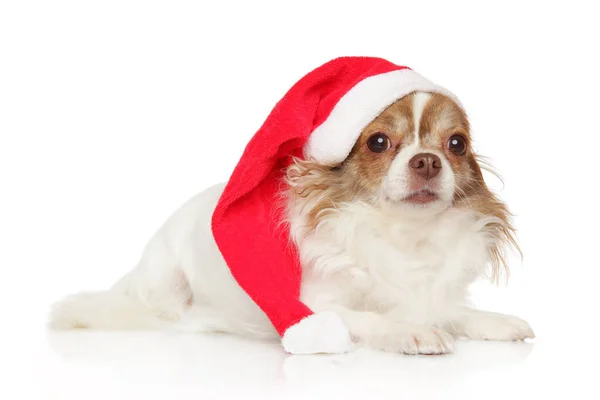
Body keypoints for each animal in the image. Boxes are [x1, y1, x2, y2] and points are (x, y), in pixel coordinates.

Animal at [48, 57, 536, 356]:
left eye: (457, 145)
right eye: (378, 142)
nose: (428, 161)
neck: (404, 236)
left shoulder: (428, 288)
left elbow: (451, 309)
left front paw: (493, 320)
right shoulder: (317, 306)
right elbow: (370, 317)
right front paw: (409, 330)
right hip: (163, 281)